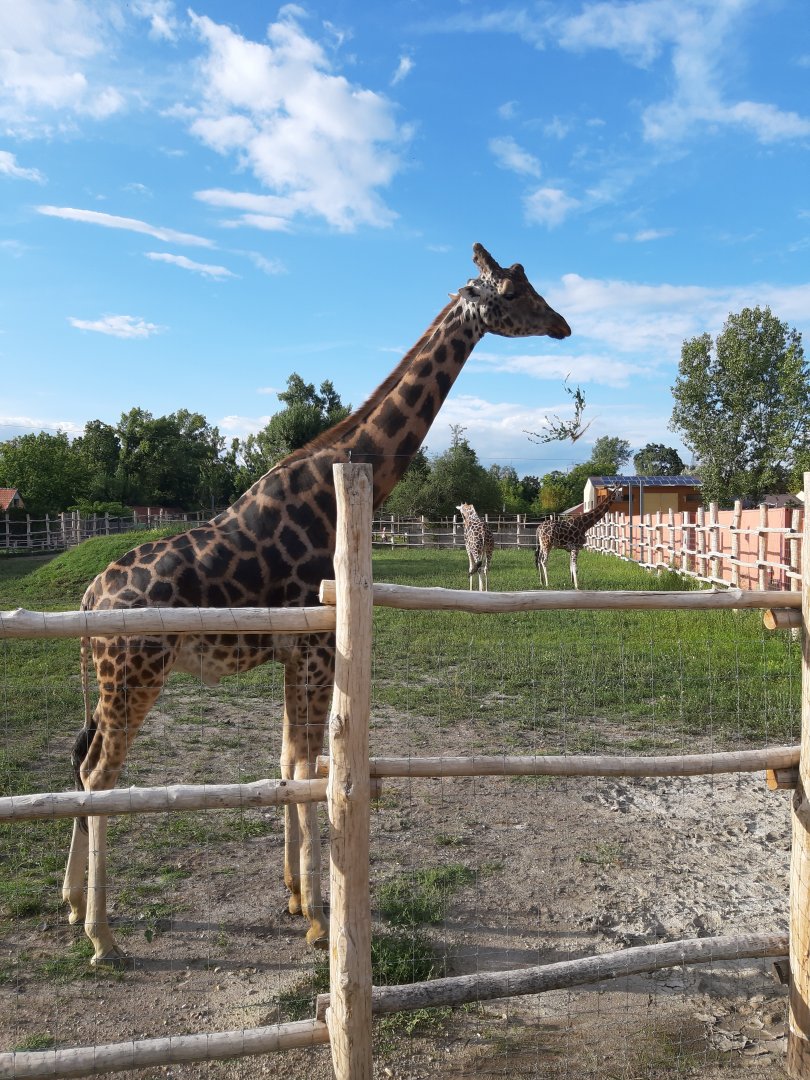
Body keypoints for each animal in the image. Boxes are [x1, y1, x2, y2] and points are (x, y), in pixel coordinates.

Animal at [63, 243, 571, 966]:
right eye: (515, 292)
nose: (562, 325)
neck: (351, 474)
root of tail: (88, 597)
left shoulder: (291, 650)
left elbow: (287, 763)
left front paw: (295, 896)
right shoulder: (315, 645)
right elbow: (309, 765)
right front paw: (319, 918)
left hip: (114, 681)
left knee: (81, 766)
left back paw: (74, 904)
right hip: (133, 673)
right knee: (101, 775)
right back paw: (102, 936)